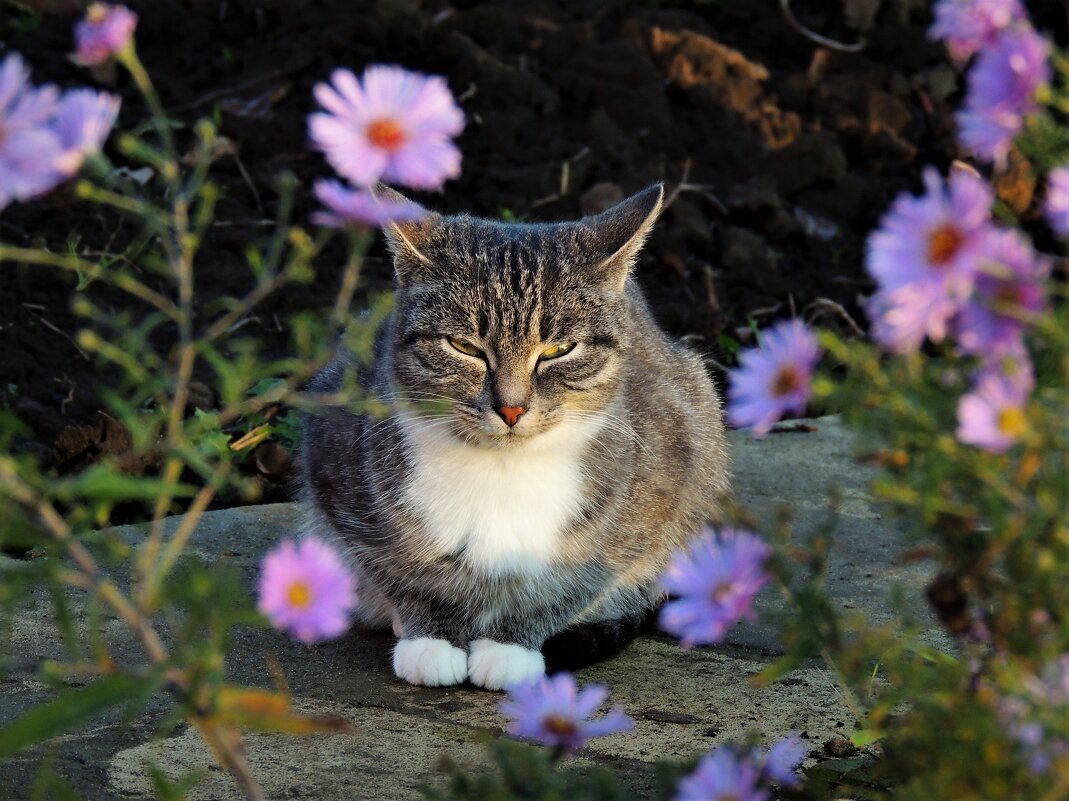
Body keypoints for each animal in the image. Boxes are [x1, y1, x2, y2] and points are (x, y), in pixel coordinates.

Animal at [301, 180, 735, 688]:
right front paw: (430, 638)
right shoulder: (337, 471)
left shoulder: (653, 494)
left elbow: (572, 582)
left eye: (559, 349)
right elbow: (401, 568)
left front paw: (510, 647)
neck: (500, 470)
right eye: (464, 346)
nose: (511, 408)